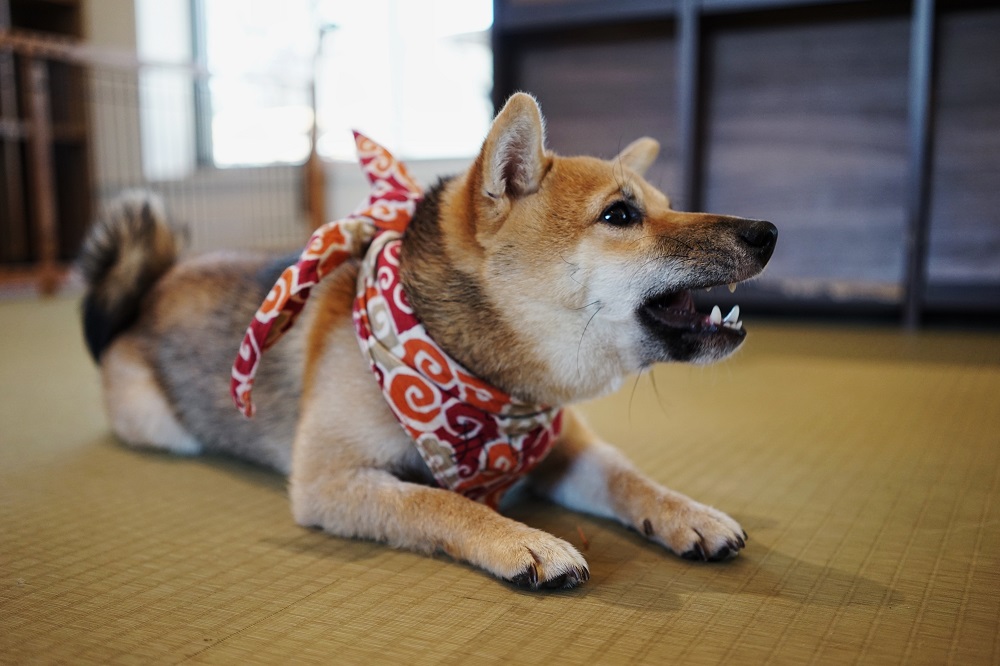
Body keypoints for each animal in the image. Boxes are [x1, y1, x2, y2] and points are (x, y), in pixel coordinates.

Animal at [82, 92, 776, 588]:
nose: (767, 231)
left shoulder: (565, 445)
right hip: (163, 427)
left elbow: (628, 477)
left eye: (665, 204)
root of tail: (150, 287)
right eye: (621, 215)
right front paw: (523, 537)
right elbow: (443, 505)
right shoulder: (330, 480)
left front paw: (688, 513)